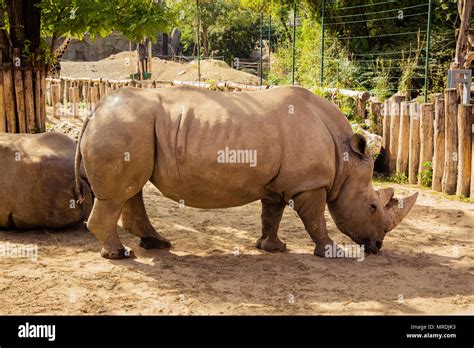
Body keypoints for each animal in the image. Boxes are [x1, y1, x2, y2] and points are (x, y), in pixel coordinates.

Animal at [75, 84, 418, 258]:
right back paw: (118, 254)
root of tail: (95, 110)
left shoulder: (278, 183)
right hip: (122, 126)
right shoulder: (310, 183)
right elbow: (315, 219)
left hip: (129, 128)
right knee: (118, 194)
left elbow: (271, 214)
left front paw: (273, 248)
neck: (346, 160)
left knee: (131, 189)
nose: (377, 247)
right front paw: (333, 251)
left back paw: (157, 244)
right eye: (372, 207)